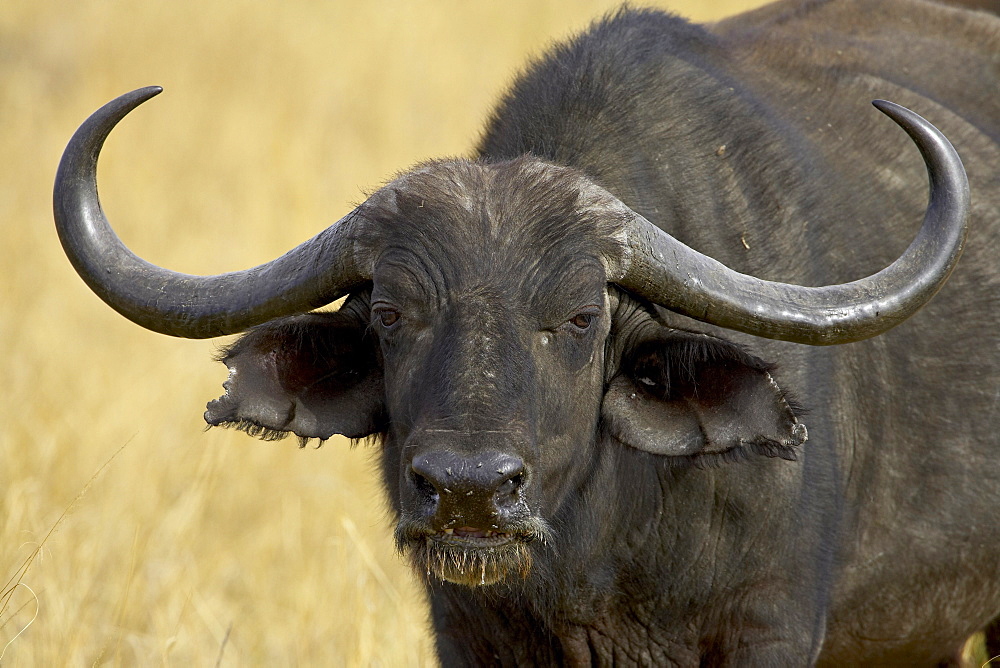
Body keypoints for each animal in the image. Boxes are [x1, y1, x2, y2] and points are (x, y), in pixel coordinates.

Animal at [52, 0, 1000, 660]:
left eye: (579, 318)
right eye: (391, 316)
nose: (470, 492)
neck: (602, 558)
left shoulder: (769, 623)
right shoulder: (464, 630)